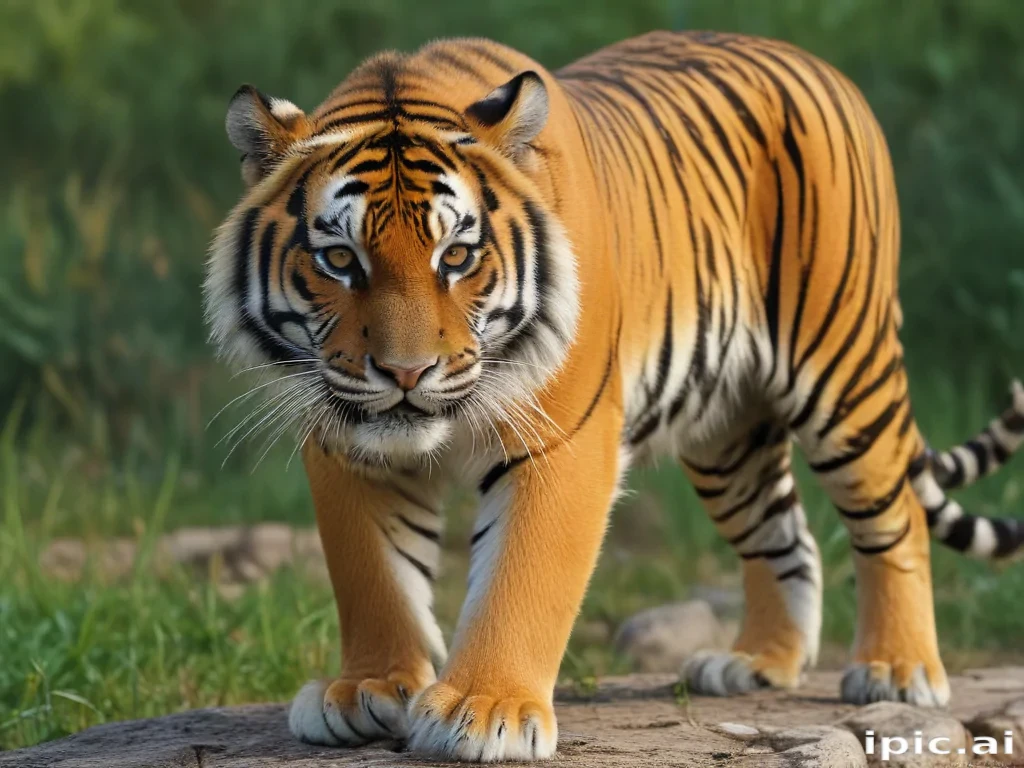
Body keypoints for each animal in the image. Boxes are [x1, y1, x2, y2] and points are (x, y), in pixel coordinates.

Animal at [204, 31, 1024, 762]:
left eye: (458, 256)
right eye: (340, 259)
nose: (406, 374)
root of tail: (817, 62)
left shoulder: (562, 438)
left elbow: (524, 573)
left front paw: (486, 711)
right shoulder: (347, 442)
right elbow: (372, 574)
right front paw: (369, 690)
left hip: (843, 364)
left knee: (894, 517)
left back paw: (897, 669)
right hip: (726, 429)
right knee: (787, 536)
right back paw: (758, 662)